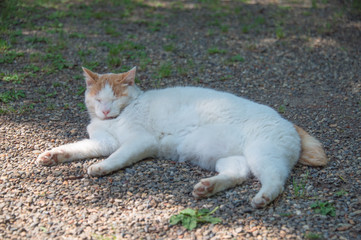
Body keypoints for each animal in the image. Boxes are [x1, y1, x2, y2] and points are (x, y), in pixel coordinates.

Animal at [36, 66, 326, 207]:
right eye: (98, 99)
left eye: (115, 98)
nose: (105, 110)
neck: (113, 120)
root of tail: (286, 120)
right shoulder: (103, 142)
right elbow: (77, 147)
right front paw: (54, 155)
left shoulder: (139, 142)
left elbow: (117, 157)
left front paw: (101, 167)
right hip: (229, 158)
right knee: (238, 174)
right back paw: (208, 187)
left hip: (263, 154)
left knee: (276, 180)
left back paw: (262, 198)